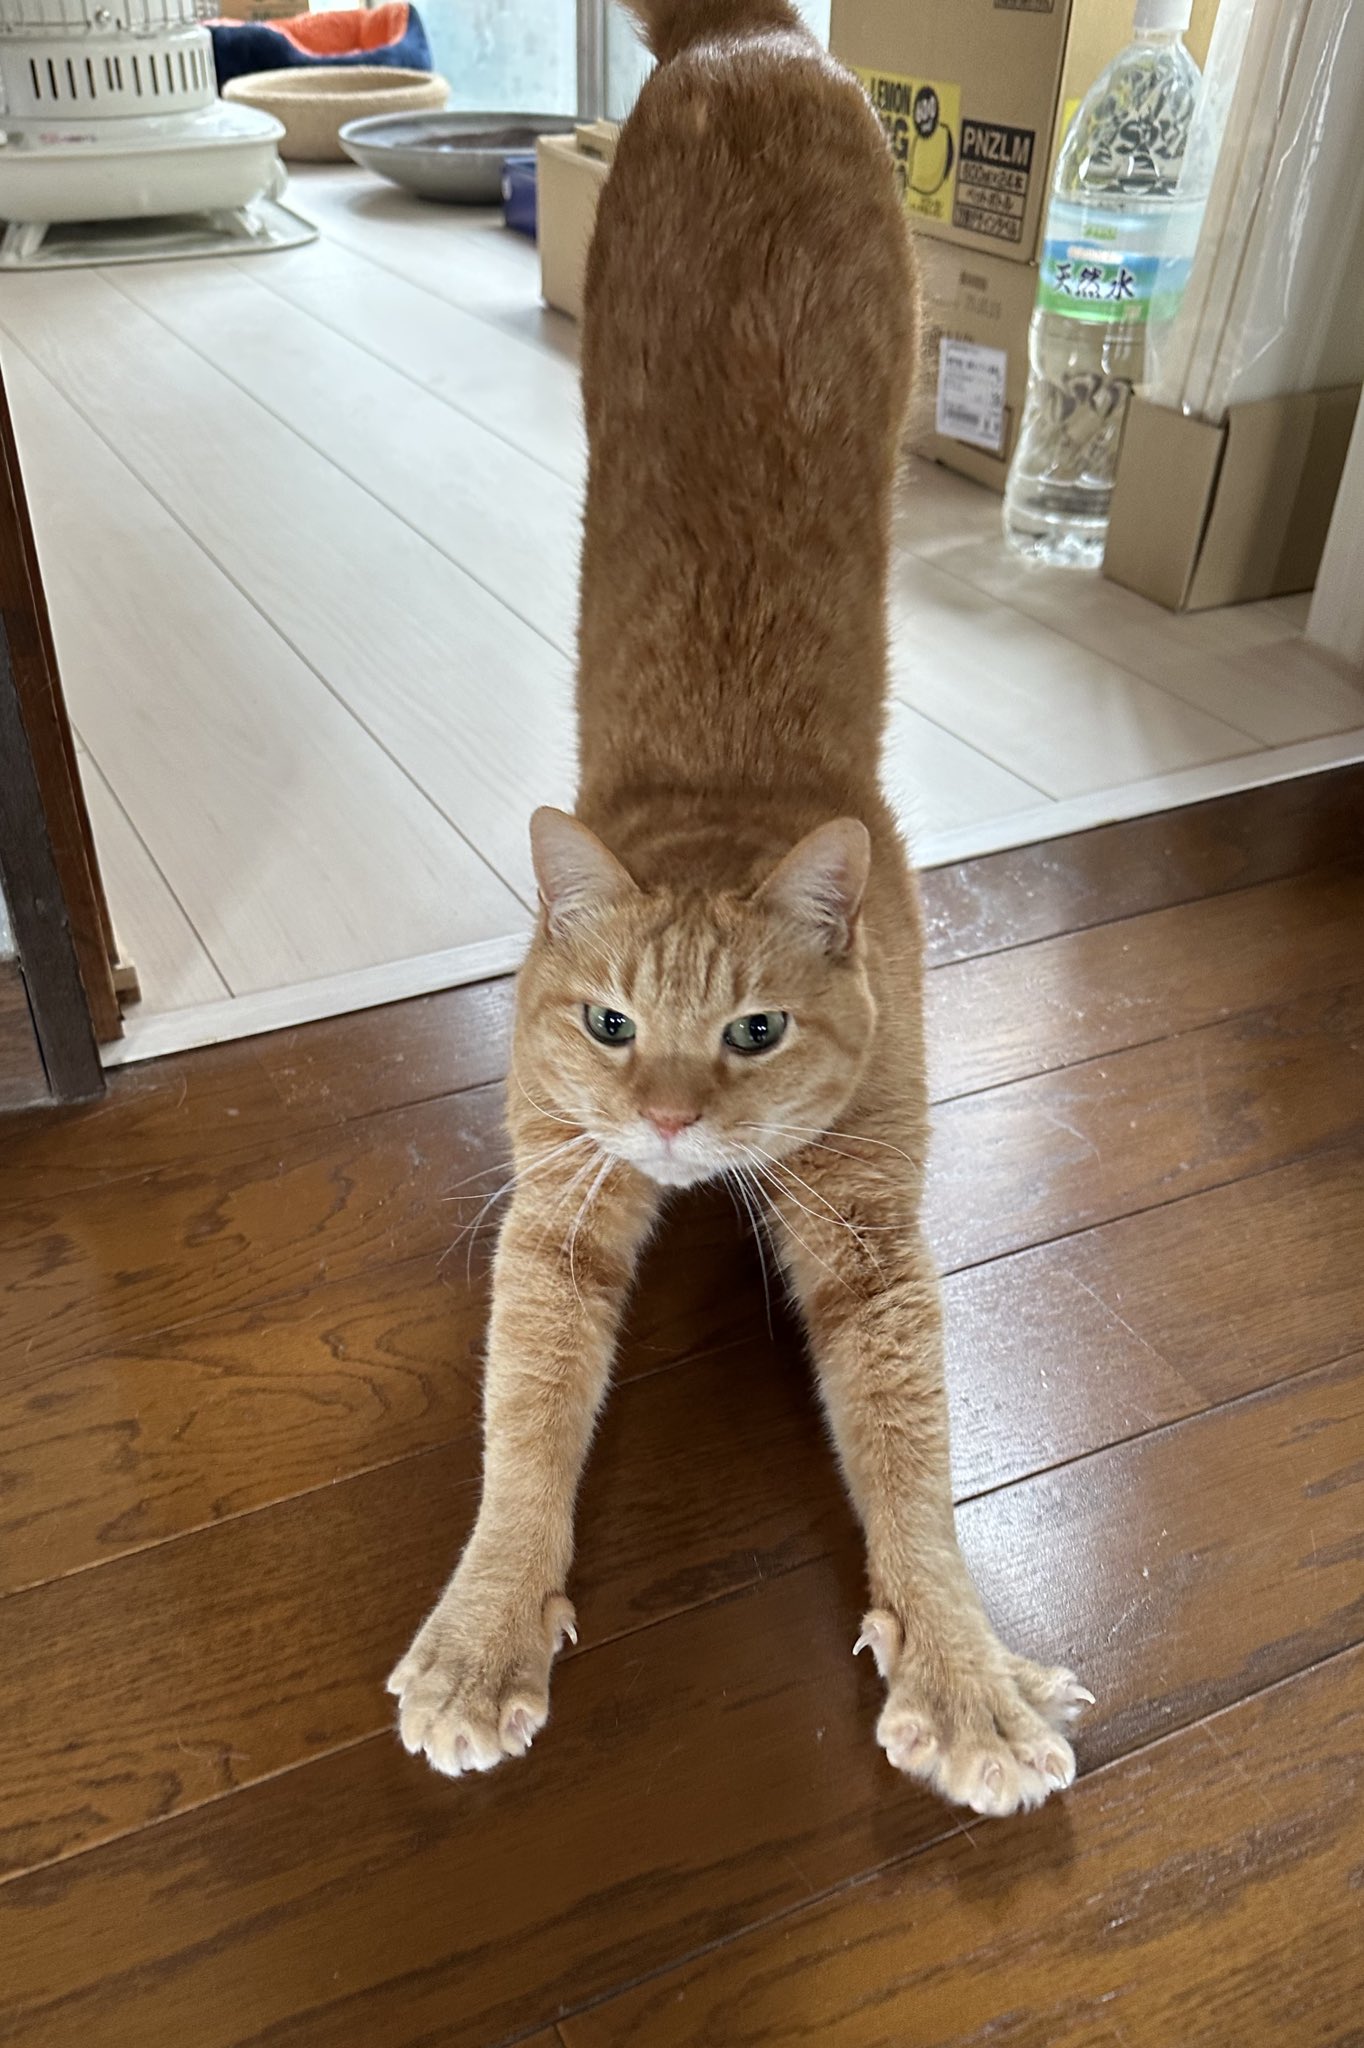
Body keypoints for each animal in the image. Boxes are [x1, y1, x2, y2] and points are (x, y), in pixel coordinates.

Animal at [388, 0, 1090, 1816]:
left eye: (756, 1032)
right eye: (611, 1022)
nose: (666, 1119)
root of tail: (746, 38)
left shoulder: (870, 1242)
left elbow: (914, 1465)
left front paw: (966, 1672)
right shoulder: (556, 1213)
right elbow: (521, 1428)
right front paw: (486, 1631)